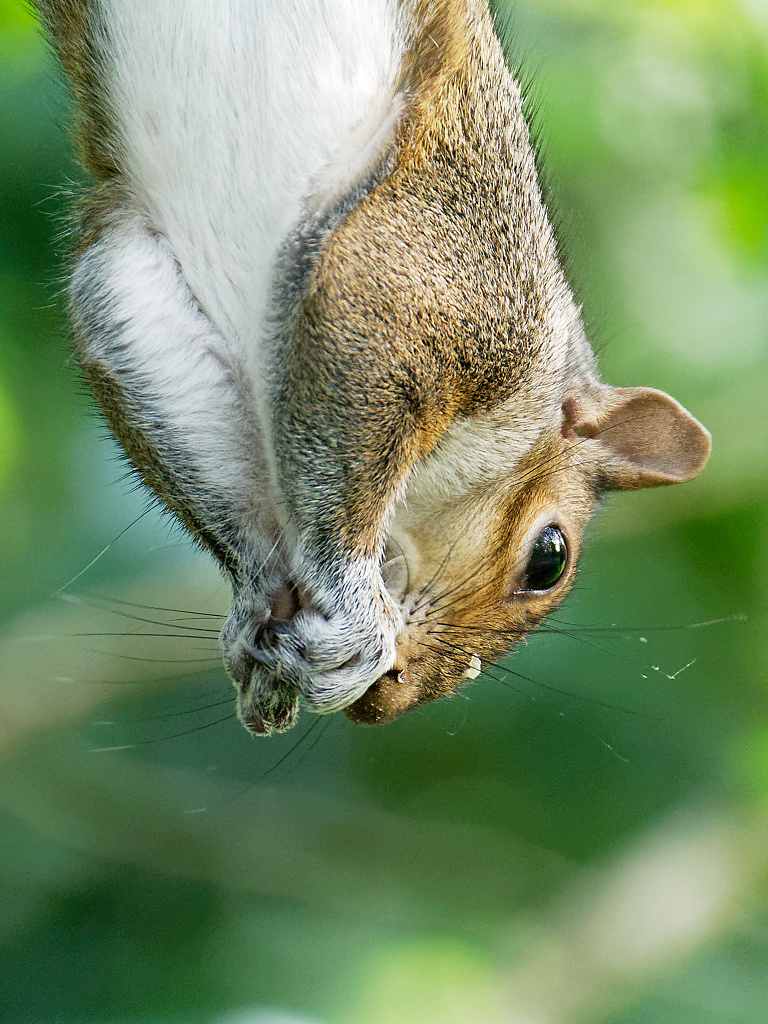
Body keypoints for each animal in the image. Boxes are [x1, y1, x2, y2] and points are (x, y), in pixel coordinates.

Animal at [34, 0, 708, 737]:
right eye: (549, 559)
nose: (388, 699)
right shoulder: (430, 284)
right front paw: (357, 616)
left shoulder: (132, 281)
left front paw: (260, 611)